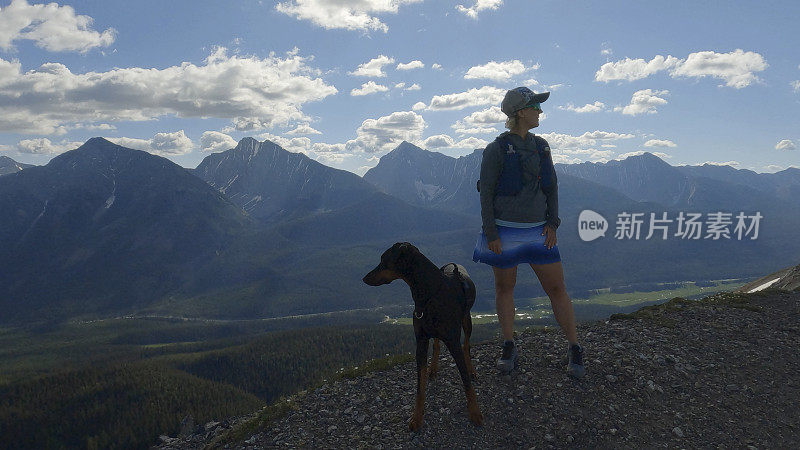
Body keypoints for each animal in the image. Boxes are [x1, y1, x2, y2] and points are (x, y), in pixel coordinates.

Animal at [362, 241, 482, 430]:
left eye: (383, 260)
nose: (364, 278)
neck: (428, 295)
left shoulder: (453, 342)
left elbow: (466, 382)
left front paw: (475, 412)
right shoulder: (421, 341)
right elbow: (420, 385)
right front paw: (416, 418)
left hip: (466, 319)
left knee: (466, 345)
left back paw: (471, 370)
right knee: (437, 344)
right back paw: (433, 368)